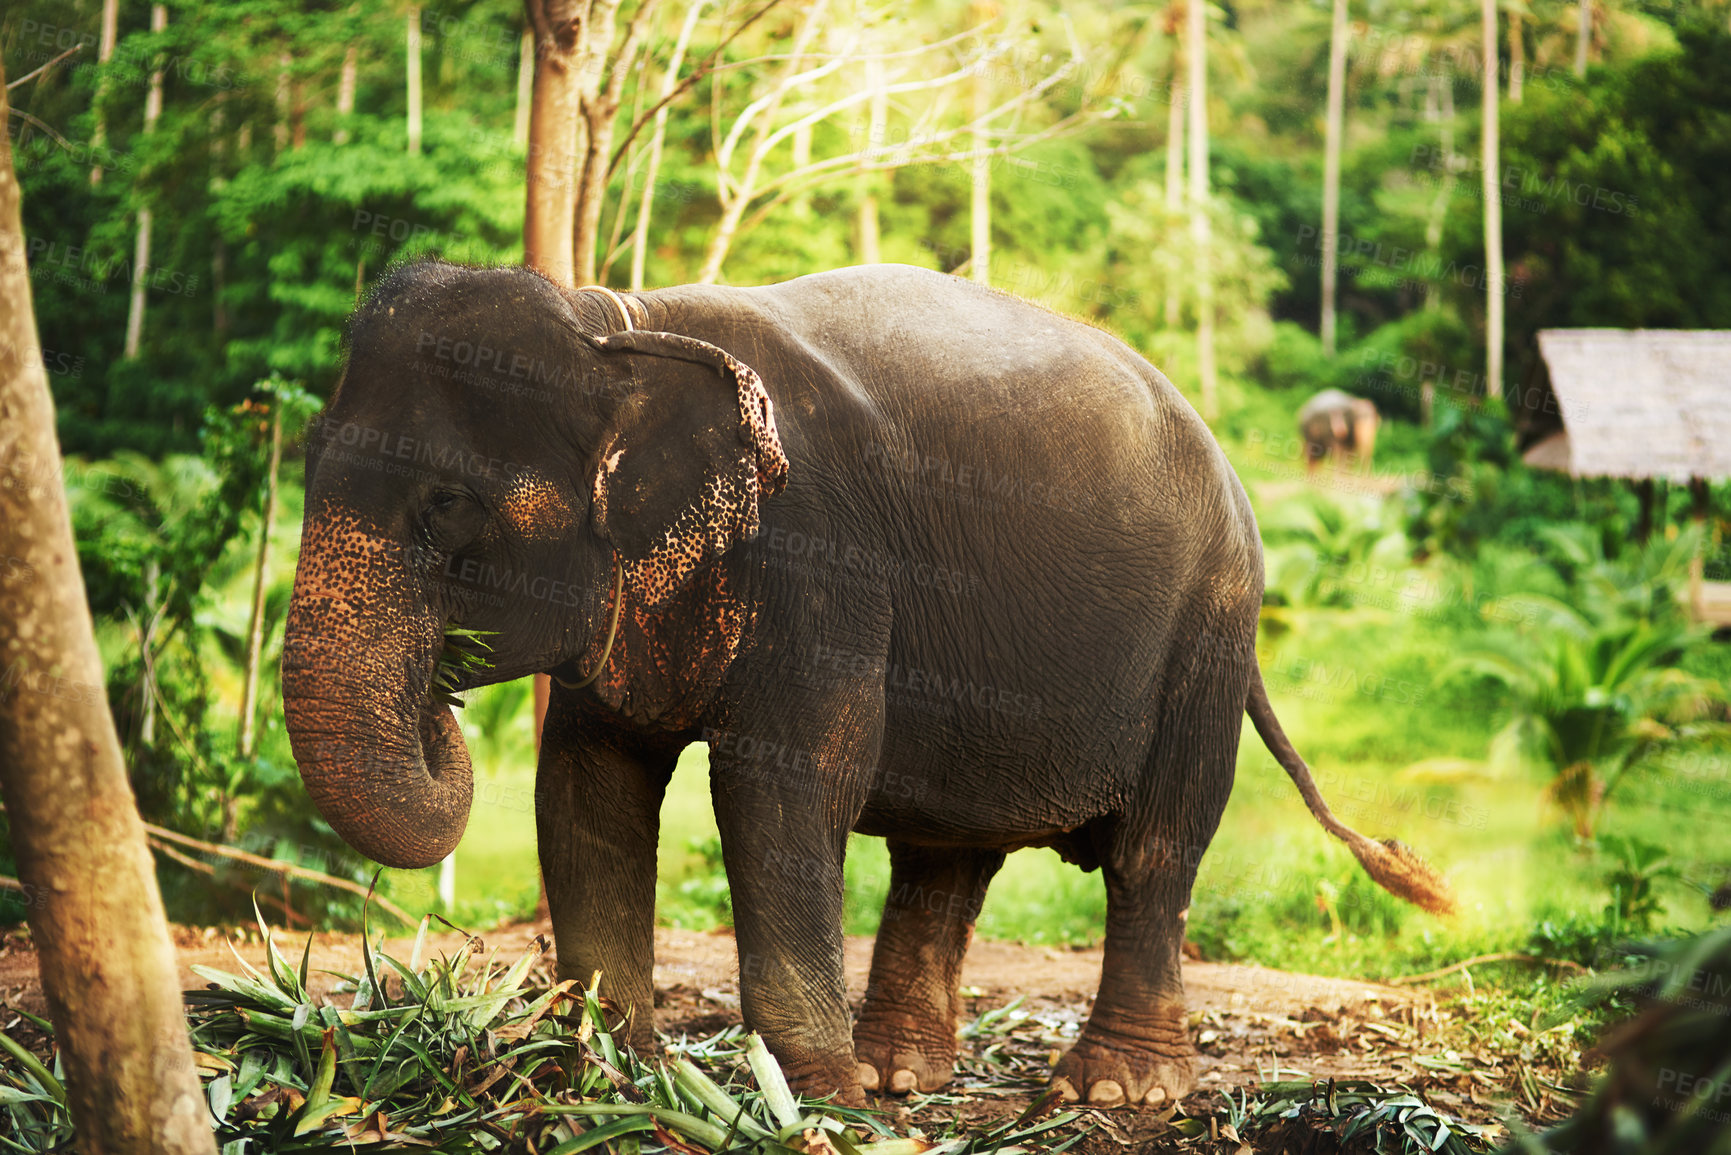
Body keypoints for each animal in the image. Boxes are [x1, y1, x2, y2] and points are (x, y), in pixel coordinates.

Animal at [280, 261, 1447, 1108]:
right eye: (308, 457)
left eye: (448, 505)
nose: (442, 690)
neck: (618, 322)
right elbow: (587, 785)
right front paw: (614, 1080)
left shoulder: (824, 563)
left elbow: (785, 789)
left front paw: (809, 1096)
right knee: (946, 858)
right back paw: (901, 1075)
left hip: (1211, 629)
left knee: (1155, 848)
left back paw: (1112, 1091)